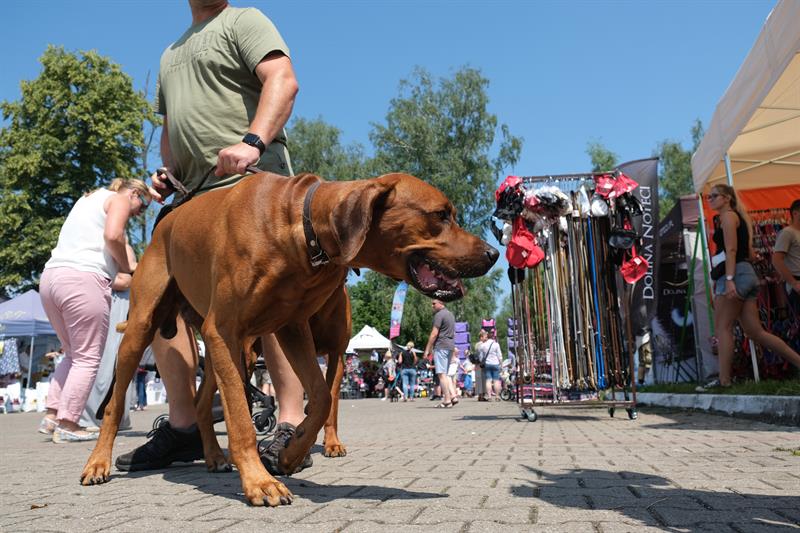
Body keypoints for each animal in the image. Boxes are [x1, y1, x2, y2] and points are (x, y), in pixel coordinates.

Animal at [79, 172, 499, 506]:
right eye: (441, 215)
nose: (494, 253)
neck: (303, 228)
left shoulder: (292, 330)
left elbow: (322, 398)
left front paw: (291, 454)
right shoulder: (225, 330)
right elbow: (242, 420)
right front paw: (259, 481)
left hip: (228, 352)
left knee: (201, 403)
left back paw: (214, 457)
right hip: (146, 330)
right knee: (114, 405)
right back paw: (98, 462)